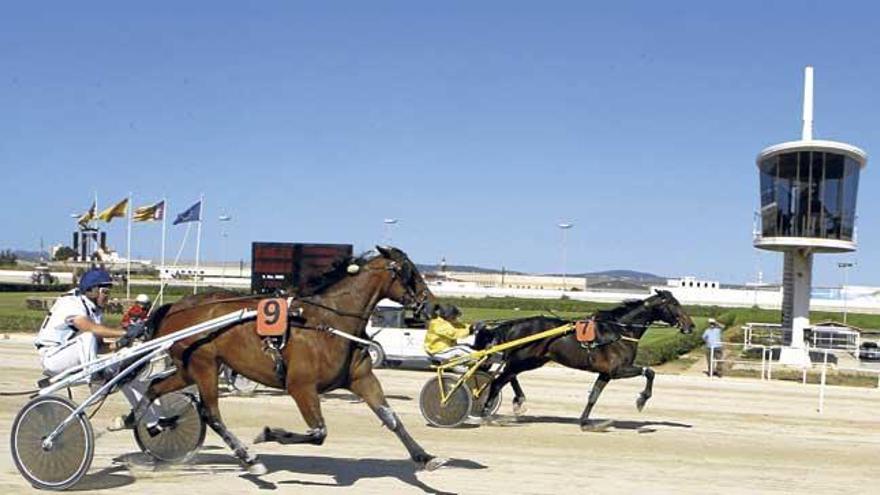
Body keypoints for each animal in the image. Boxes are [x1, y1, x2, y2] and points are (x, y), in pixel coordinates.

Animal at [129, 246, 446, 474]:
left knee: (155, 387)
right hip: (204, 366)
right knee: (212, 414)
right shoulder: (301, 386)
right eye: (409, 272)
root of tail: (176, 306)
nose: (434, 305)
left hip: (189, 368)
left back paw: (144, 422)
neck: (329, 323)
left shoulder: (361, 378)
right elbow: (318, 432)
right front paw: (268, 434)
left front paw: (425, 456)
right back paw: (248, 458)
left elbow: (391, 418)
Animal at [474, 290, 696, 430]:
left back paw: (518, 401)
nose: (691, 326)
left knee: (508, 377)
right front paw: (641, 400)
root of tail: (513, 324)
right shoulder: (618, 370)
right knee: (498, 381)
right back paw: (486, 413)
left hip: (531, 360)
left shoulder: (605, 373)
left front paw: (584, 421)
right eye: (674, 304)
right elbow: (650, 371)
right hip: (522, 360)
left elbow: (593, 397)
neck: (620, 330)